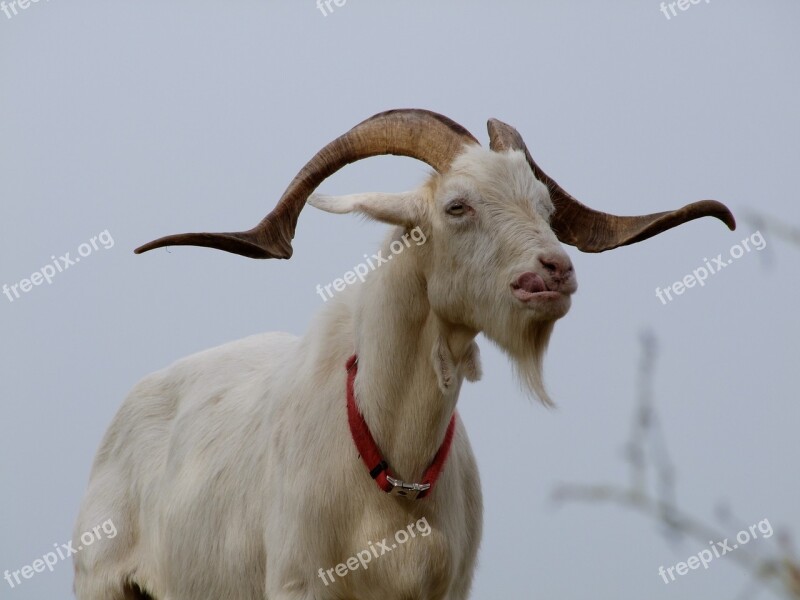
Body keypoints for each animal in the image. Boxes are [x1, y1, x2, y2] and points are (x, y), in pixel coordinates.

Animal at [72, 109, 736, 600]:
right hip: (101, 583)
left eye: (547, 210)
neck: (392, 467)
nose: (554, 272)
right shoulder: (296, 583)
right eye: (456, 206)